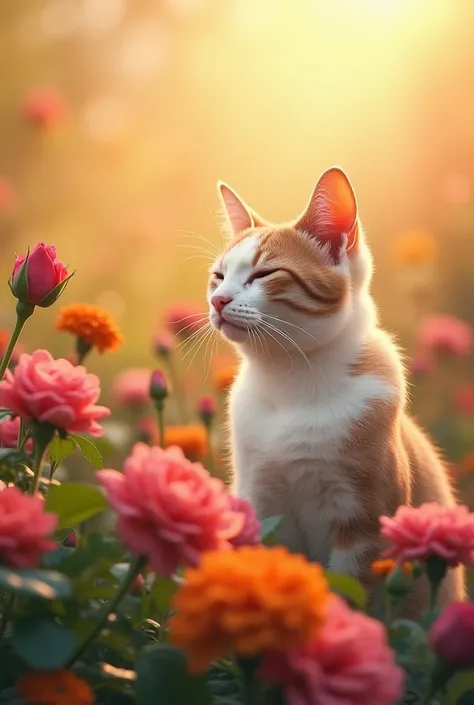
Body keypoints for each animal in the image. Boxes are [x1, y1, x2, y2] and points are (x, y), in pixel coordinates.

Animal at [206, 166, 462, 616]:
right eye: (218, 276)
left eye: (264, 274)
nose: (218, 300)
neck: (288, 383)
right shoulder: (263, 505)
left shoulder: (362, 523)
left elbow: (348, 597)